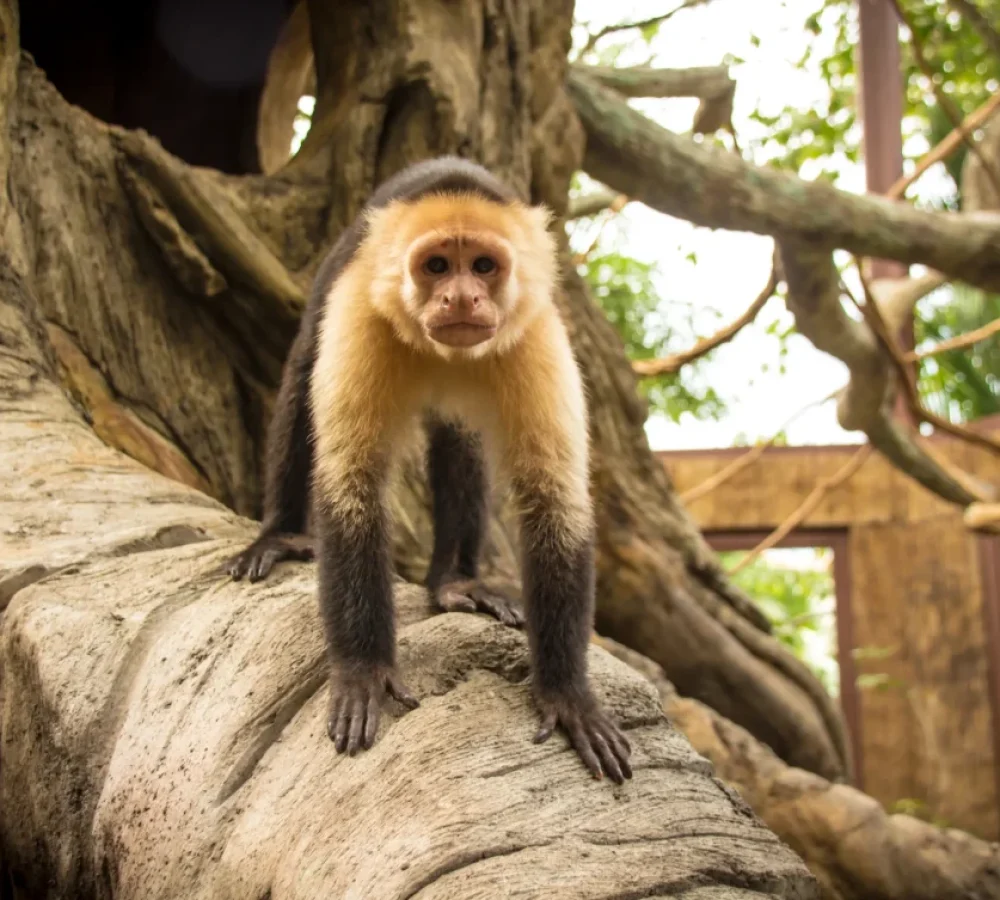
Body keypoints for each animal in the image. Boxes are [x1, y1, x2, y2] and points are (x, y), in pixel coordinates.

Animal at [228, 157, 631, 784]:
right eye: (438, 266)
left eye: (483, 267)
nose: (461, 298)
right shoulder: (360, 309)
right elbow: (352, 483)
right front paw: (364, 667)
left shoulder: (537, 332)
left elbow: (555, 501)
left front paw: (567, 693)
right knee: (301, 376)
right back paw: (281, 533)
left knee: (459, 437)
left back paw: (454, 583)